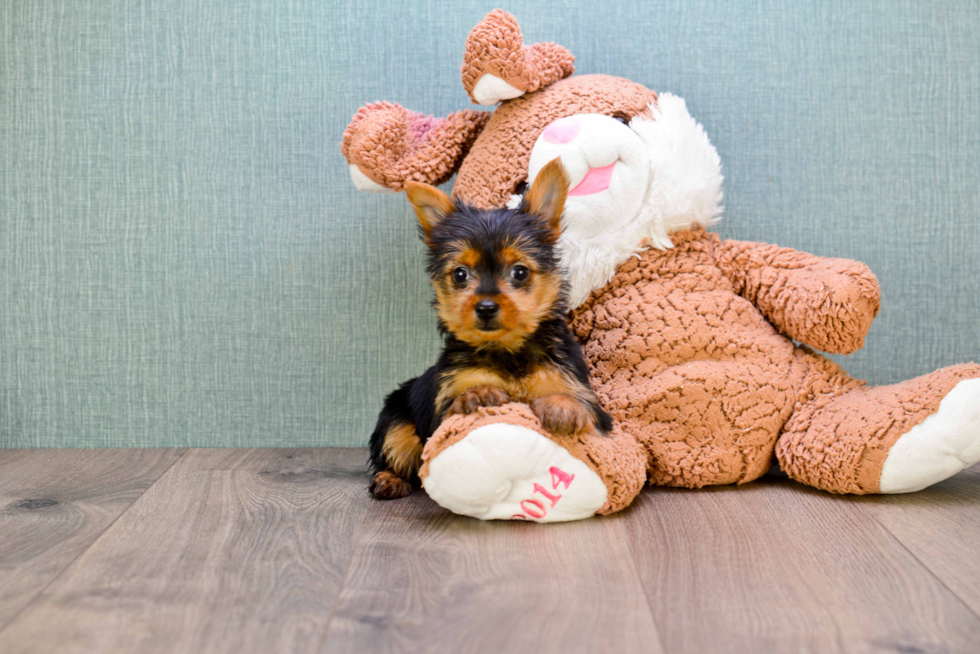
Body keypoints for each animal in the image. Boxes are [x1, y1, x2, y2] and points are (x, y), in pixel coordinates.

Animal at [370, 160, 612, 502]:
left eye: (520, 272)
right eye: (460, 274)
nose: (485, 307)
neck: (507, 349)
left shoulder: (579, 389)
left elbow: (580, 404)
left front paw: (562, 406)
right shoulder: (445, 405)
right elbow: (456, 409)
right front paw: (480, 393)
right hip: (397, 415)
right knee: (394, 446)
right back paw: (388, 479)